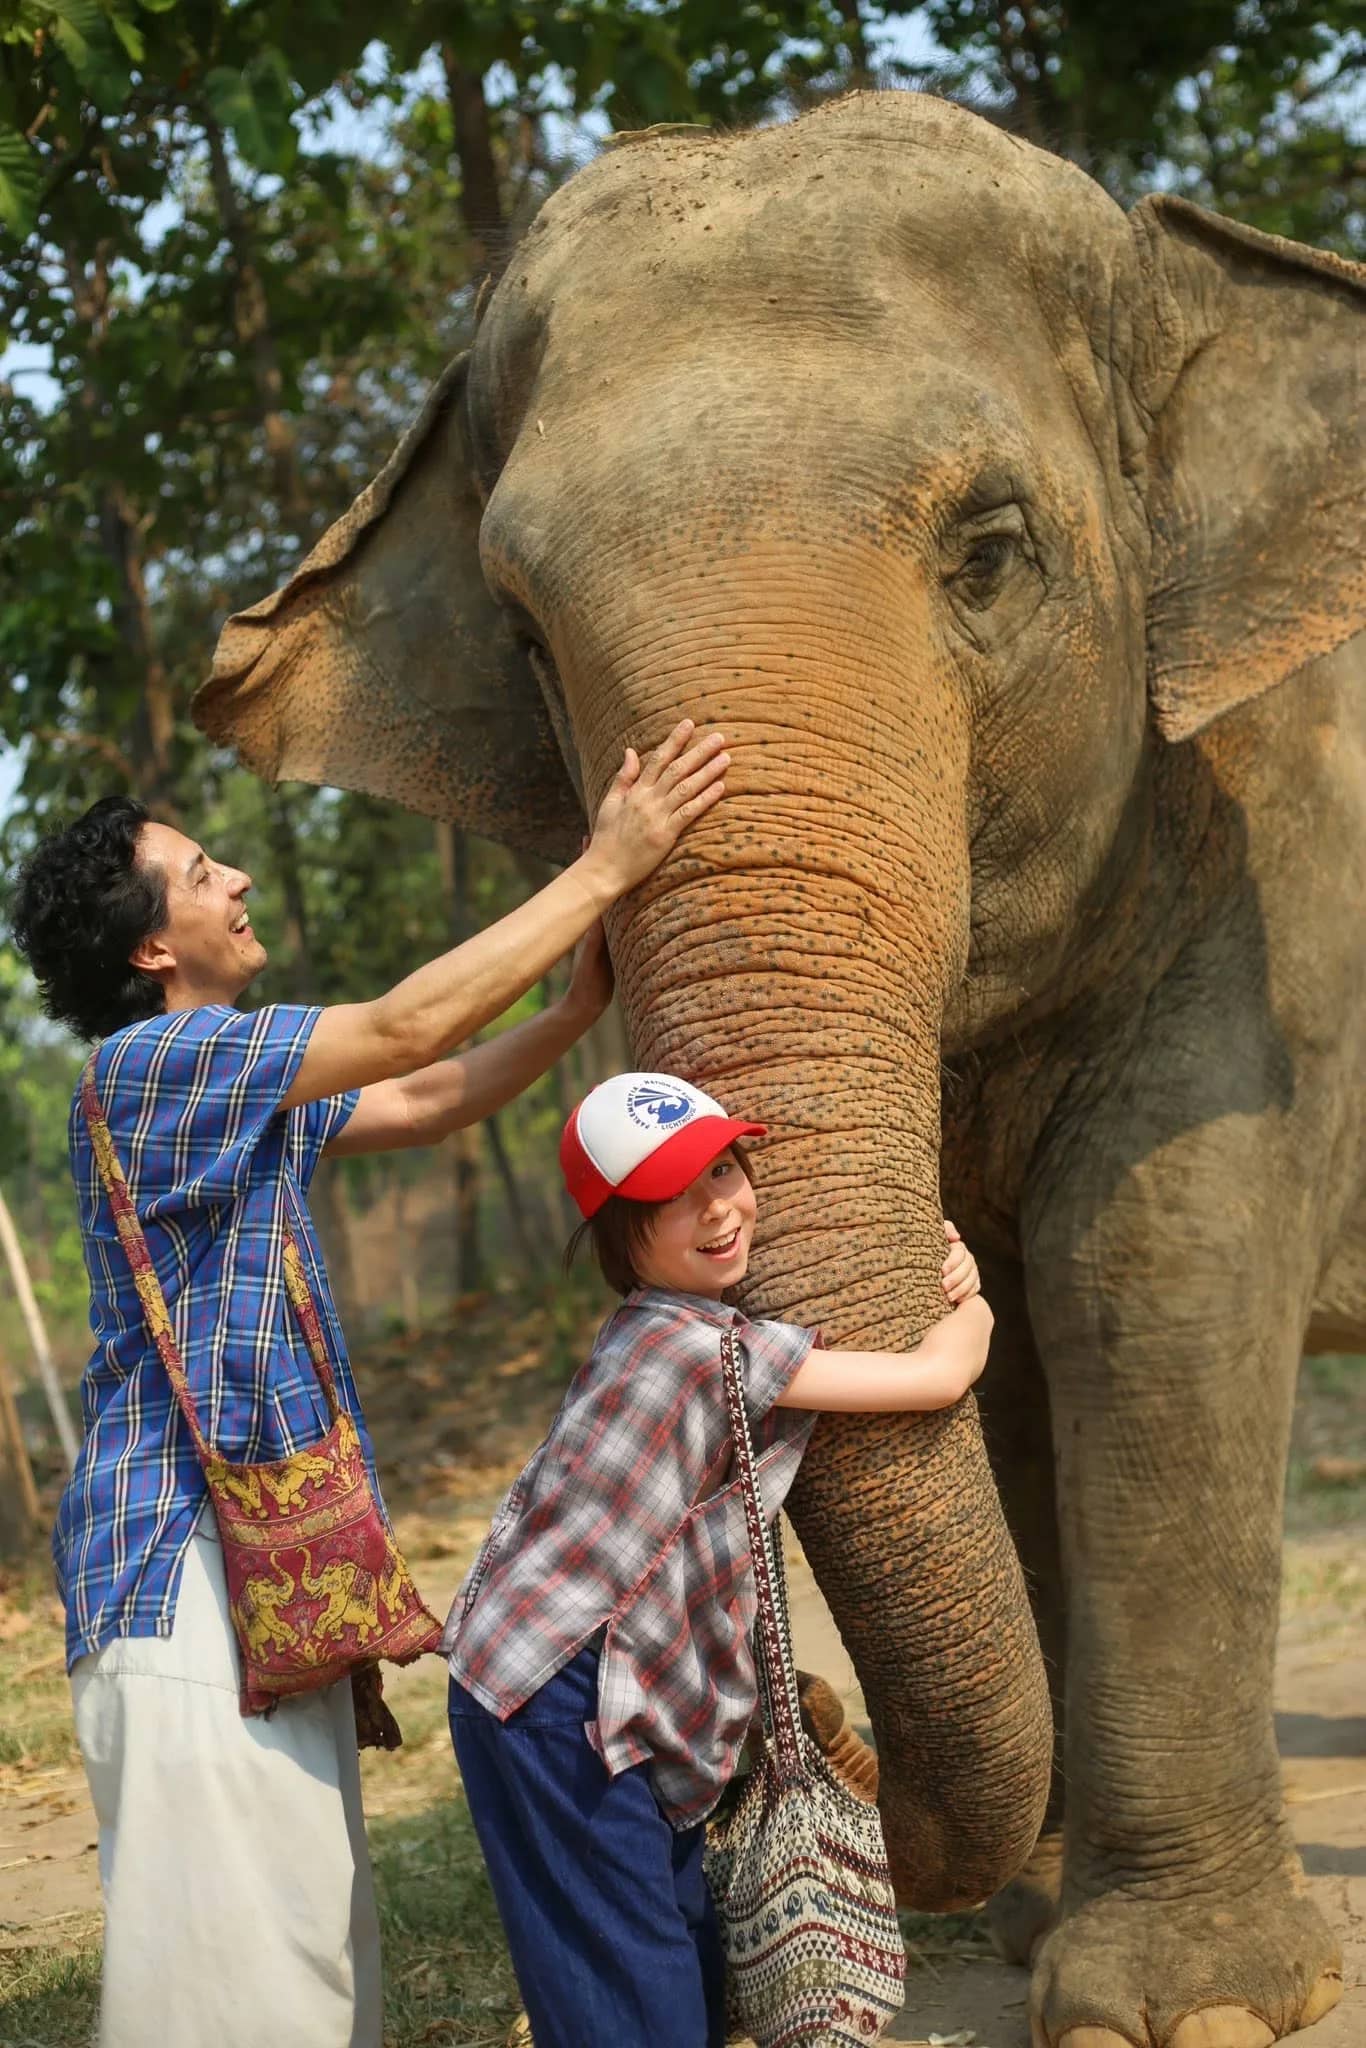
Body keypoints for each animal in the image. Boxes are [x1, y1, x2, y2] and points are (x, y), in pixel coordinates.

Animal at [194, 89, 1366, 2048]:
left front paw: (1181, 2007)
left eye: (990, 550)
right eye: (523, 631)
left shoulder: (1285, 863)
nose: (816, 1716)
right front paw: (1042, 1919)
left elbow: (1144, 1271)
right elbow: (1014, 1343)